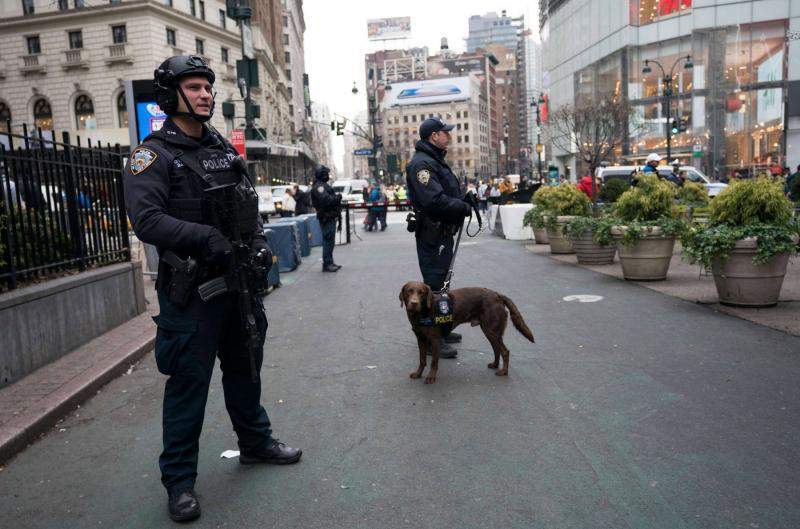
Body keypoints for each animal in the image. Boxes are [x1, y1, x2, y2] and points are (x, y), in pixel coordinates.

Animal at [400, 280, 536, 384]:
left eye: (421, 293)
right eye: (409, 291)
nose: (414, 303)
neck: (422, 313)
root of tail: (497, 295)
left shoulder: (435, 340)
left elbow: (434, 362)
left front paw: (431, 378)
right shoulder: (420, 339)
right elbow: (422, 360)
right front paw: (418, 374)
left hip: (492, 330)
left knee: (505, 351)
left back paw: (503, 371)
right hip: (488, 330)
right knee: (497, 349)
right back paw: (495, 365)